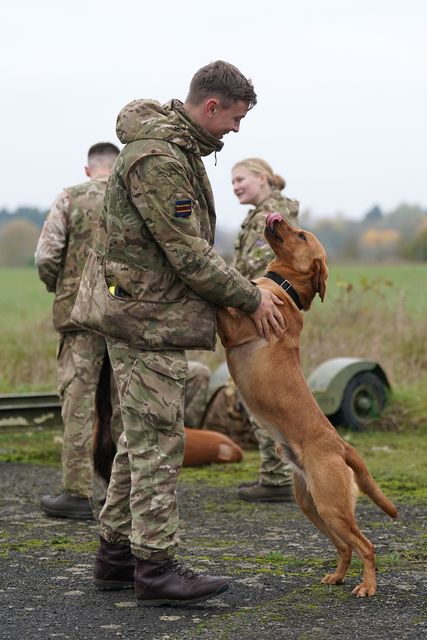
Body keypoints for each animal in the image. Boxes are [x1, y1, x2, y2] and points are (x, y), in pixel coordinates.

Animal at [217, 214, 398, 596]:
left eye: (300, 234)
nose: (274, 217)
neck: (283, 287)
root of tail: (341, 445)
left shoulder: (232, 328)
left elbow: (223, 302)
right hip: (312, 505)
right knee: (345, 547)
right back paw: (338, 577)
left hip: (331, 506)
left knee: (366, 545)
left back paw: (367, 586)